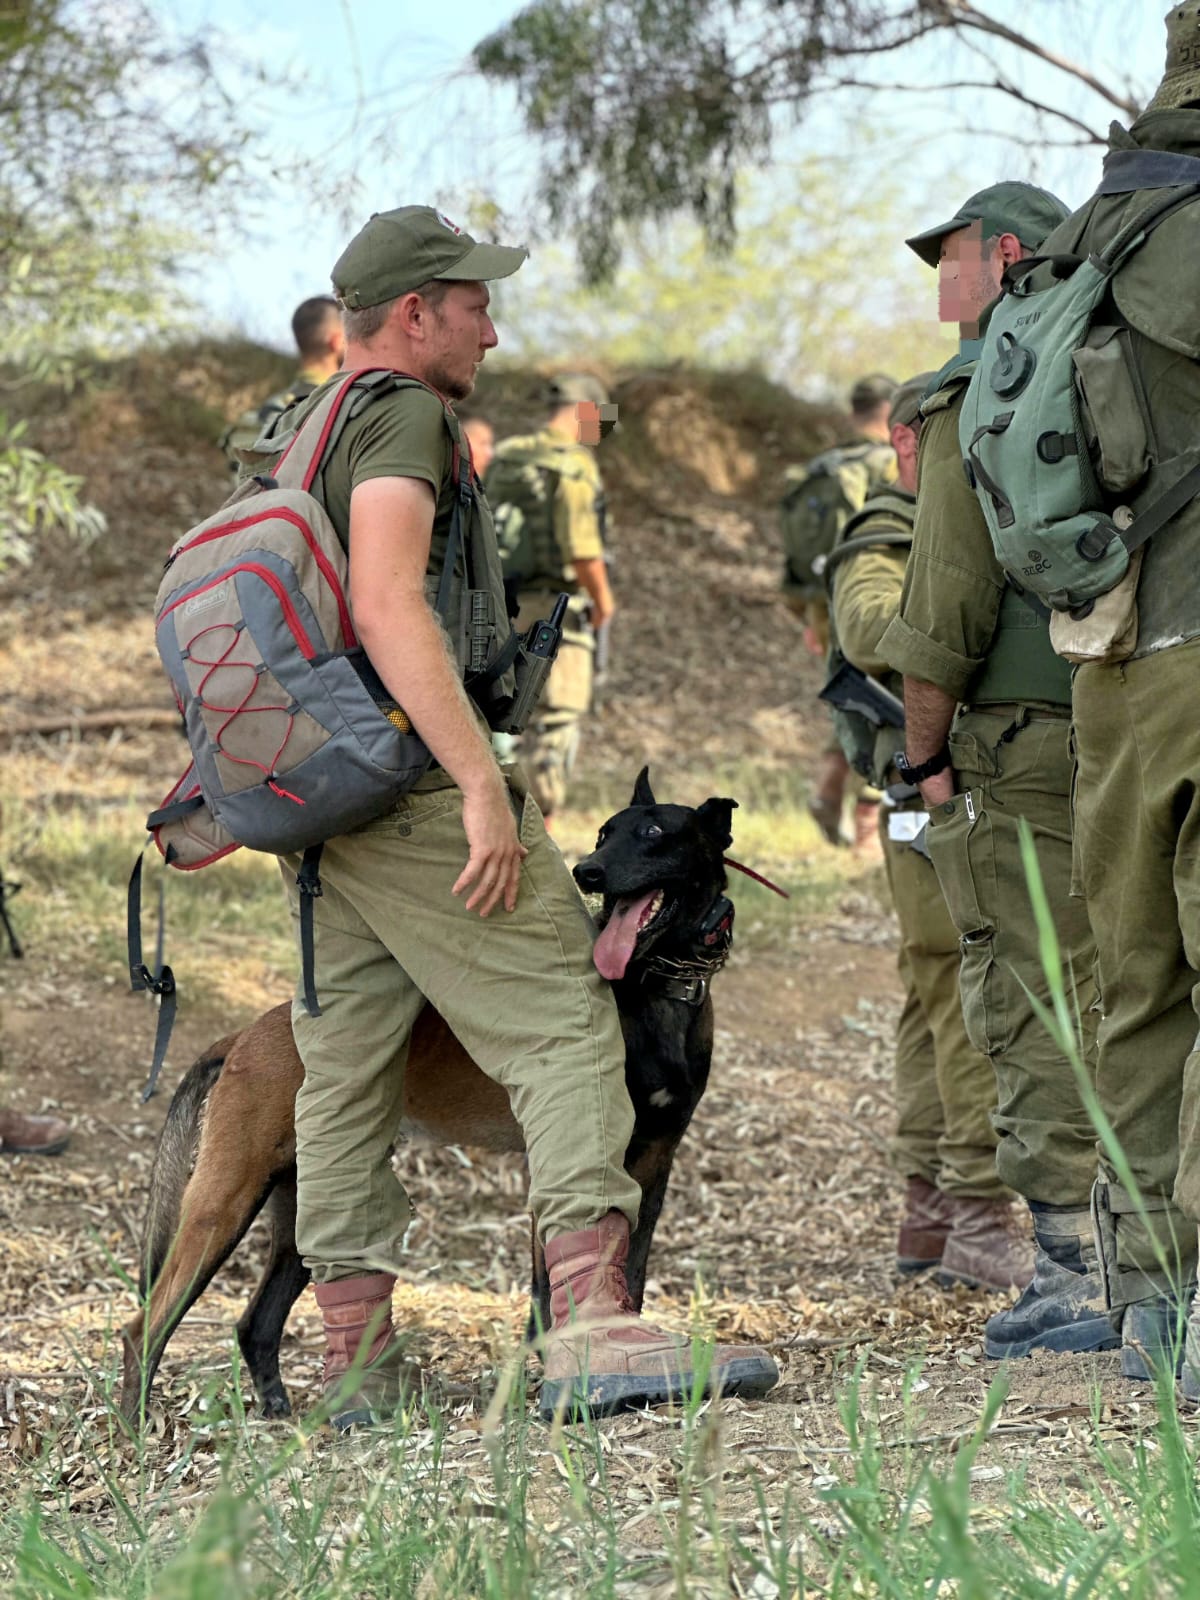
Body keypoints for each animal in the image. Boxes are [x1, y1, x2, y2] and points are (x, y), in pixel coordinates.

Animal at [122, 768, 742, 1420]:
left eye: (653, 833)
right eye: (604, 833)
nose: (587, 871)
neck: (656, 988)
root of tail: (247, 1032)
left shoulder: (655, 1162)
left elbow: (632, 1272)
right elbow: (546, 1294)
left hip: (298, 1206)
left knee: (256, 1324)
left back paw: (286, 1418)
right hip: (224, 1201)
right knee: (147, 1325)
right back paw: (138, 1427)